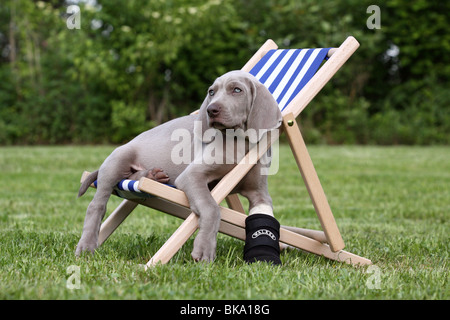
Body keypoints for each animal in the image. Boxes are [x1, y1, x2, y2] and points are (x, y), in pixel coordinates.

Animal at [77, 69, 282, 262]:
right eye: (212, 92)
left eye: (237, 90)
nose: (211, 110)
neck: (240, 141)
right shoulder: (192, 175)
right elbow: (211, 208)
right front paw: (204, 249)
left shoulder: (258, 192)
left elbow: (265, 213)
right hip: (117, 159)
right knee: (97, 205)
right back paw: (86, 246)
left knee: (130, 177)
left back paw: (152, 176)